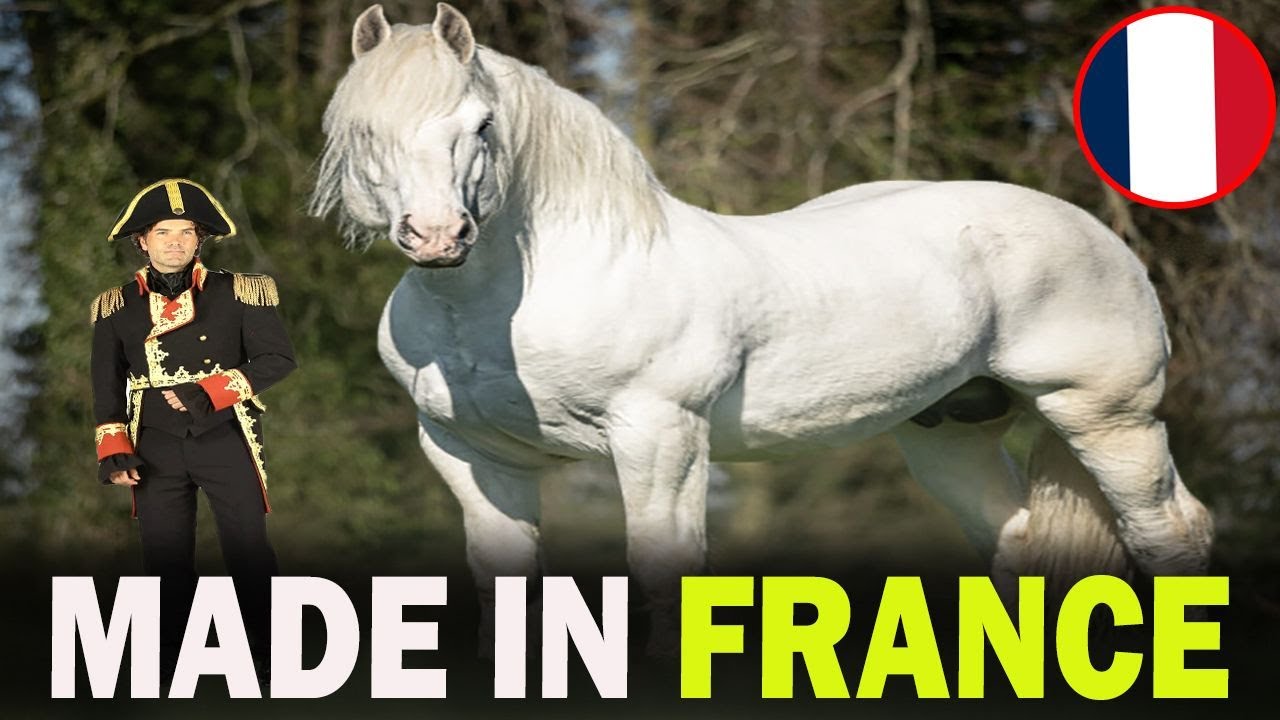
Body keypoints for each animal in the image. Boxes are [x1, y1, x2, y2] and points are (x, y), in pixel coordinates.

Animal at [311, 3, 1212, 652]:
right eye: (364, 133)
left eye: (482, 127)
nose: (437, 237)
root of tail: (1098, 233)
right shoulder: (474, 458)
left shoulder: (661, 443)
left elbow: (664, 581)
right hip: (949, 432)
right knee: (1019, 542)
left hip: (1106, 417)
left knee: (1171, 534)